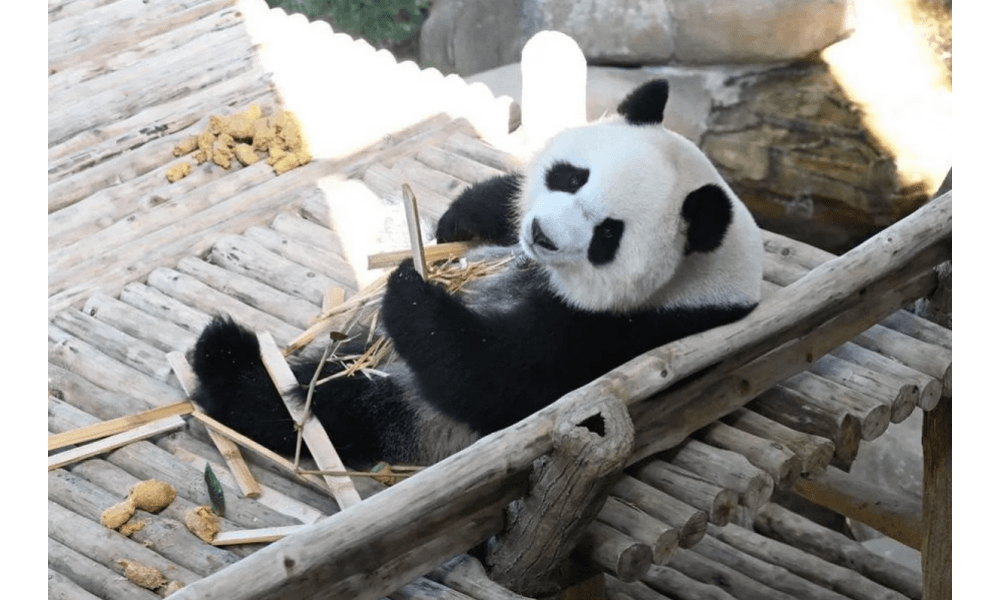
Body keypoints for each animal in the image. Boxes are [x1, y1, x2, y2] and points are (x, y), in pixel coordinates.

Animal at [190, 79, 763, 470]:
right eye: (571, 177)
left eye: (608, 234)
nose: (541, 235)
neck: (702, 281)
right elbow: (495, 200)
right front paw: (457, 221)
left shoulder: (622, 333)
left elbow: (498, 378)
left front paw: (410, 290)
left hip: (417, 417)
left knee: (333, 408)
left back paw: (229, 372)